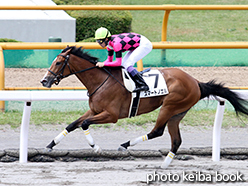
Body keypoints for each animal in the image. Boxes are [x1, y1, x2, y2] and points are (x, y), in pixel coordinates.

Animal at [40, 46, 248, 169]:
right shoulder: (95, 110)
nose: (44, 81)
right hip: (177, 113)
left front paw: (96, 147)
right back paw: (164, 165)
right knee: (176, 140)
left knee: (157, 131)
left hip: (169, 106)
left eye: (58, 62)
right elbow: (73, 124)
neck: (101, 81)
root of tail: (196, 82)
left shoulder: (111, 115)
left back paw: (125, 145)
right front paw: (50, 145)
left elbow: (84, 124)